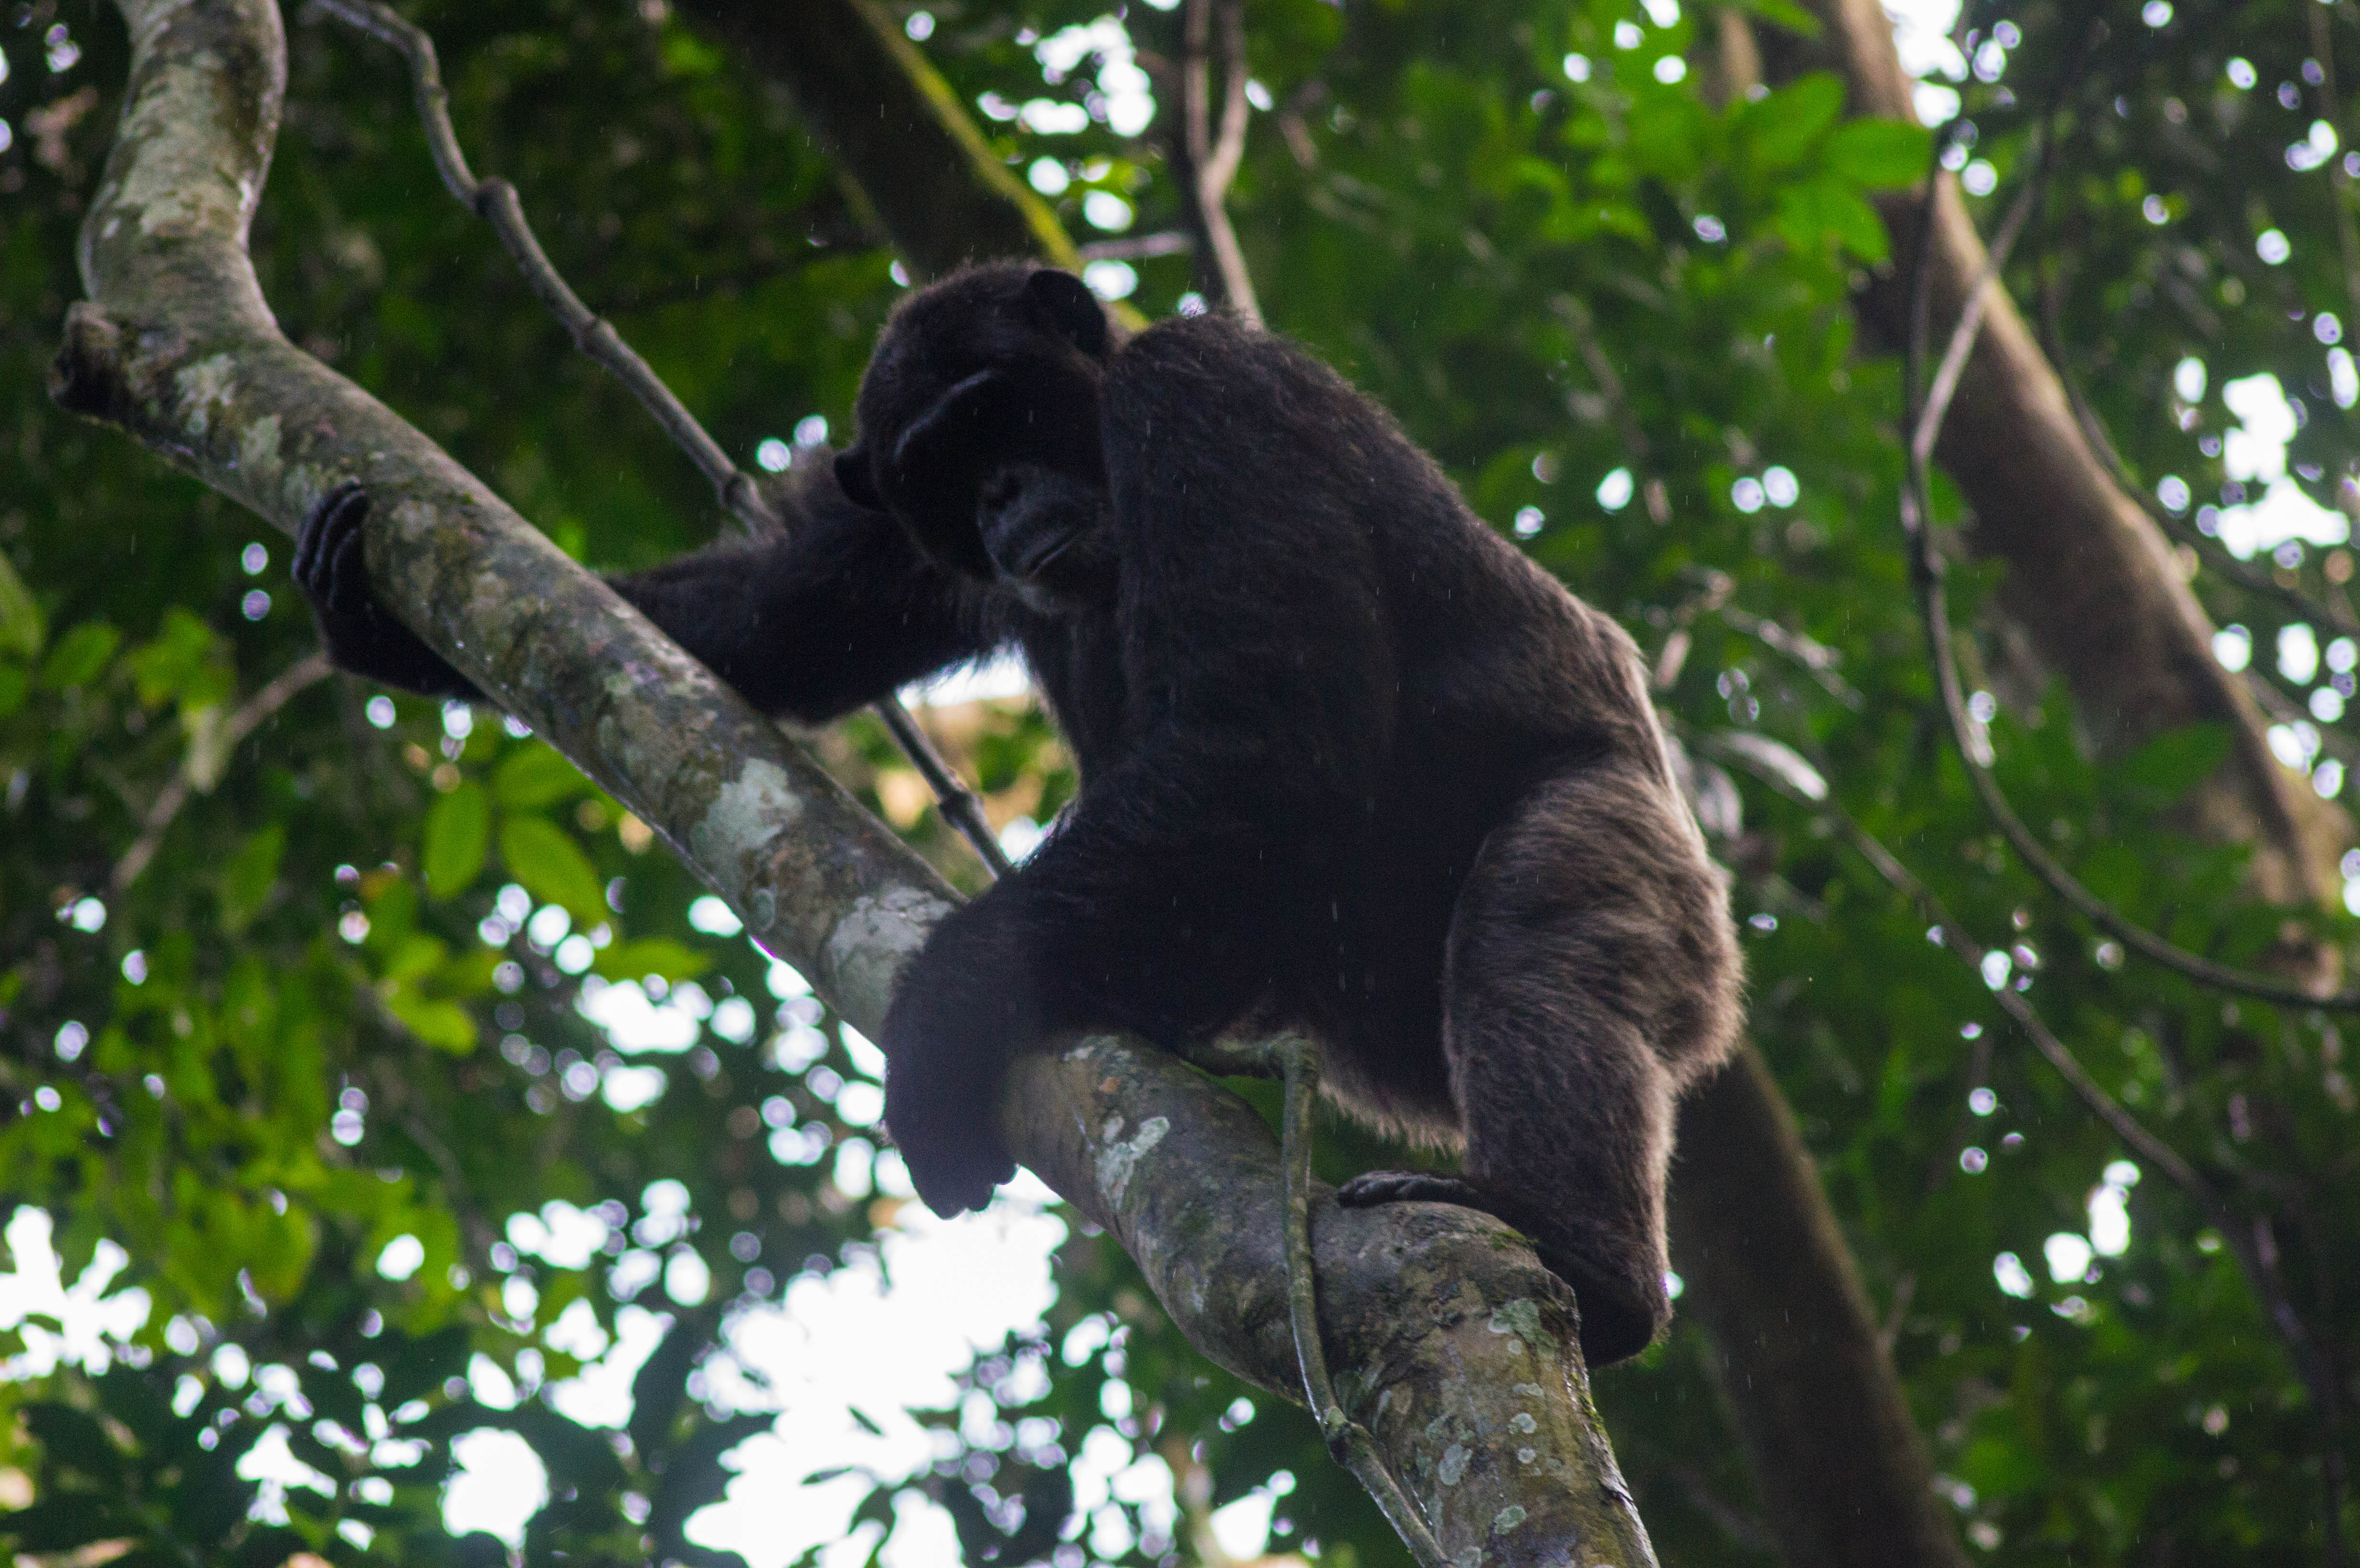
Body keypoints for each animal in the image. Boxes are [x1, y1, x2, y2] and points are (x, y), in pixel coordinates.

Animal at [295, 264, 1743, 1364]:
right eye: (939, 466)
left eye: (997, 412)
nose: (996, 497)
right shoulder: (896, 541)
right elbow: (788, 618)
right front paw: (371, 613)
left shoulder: (1202, 402)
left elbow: (1260, 733)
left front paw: (946, 1010)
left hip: (1636, 854)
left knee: (1535, 952)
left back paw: (1584, 1257)